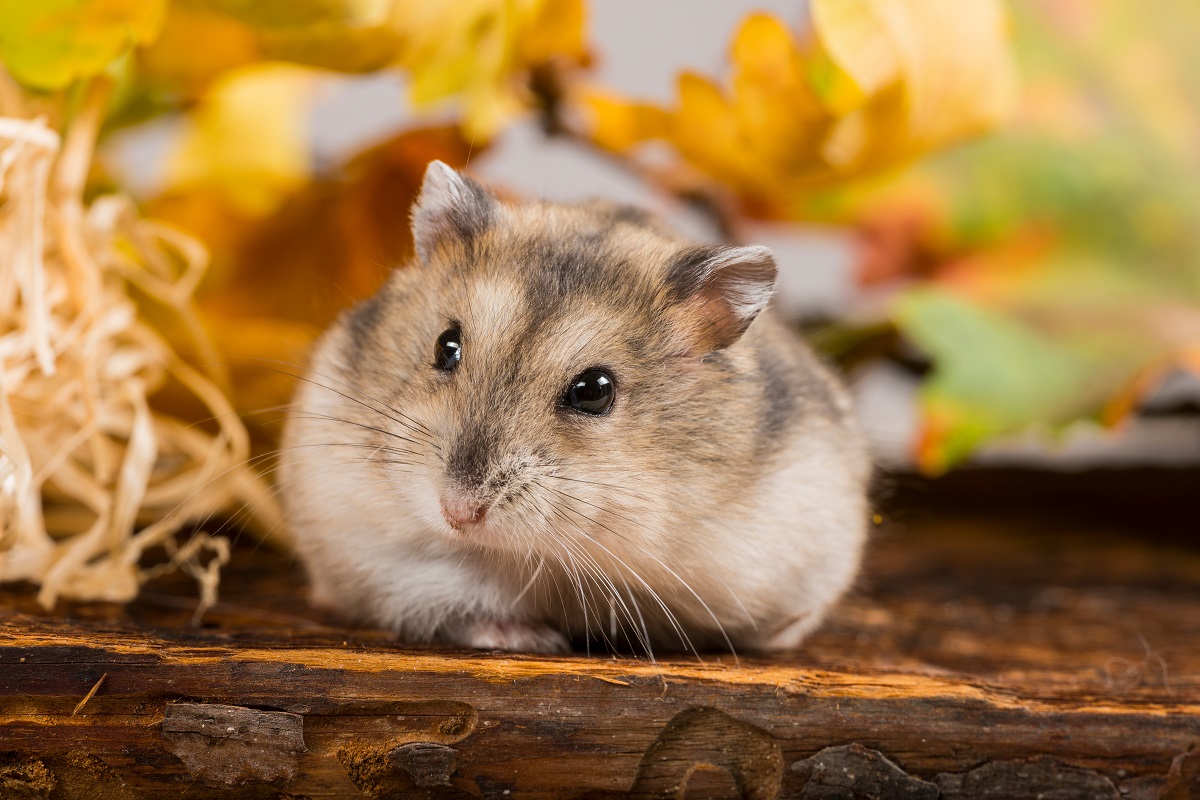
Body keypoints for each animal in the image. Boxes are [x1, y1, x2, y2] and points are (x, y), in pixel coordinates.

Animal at [277, 163, 868, 657]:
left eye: (595, 390)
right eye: (446, 346)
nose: (457, 513)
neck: (547, 559)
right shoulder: (370, 550)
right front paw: (527, 638)